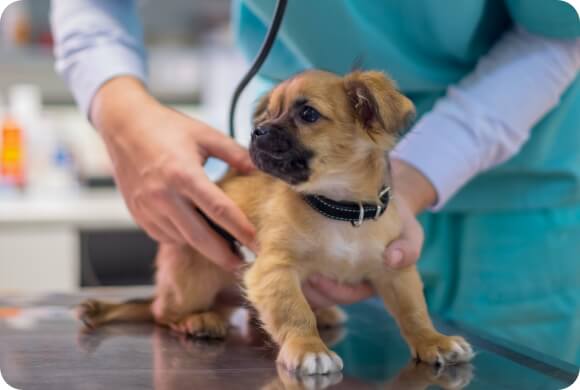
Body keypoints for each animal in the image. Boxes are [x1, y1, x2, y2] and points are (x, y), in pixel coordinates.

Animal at [78, 69, 472, 374]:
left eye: (308, 114)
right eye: (267, 115)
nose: (258, 131)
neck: (338, 207)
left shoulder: (395, 269)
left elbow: (414, 310)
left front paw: (433, 340)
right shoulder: (273, 269)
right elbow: (295, 311)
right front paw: (309, 348)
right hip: (196, 275)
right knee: (162, 312)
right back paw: (198, 320)